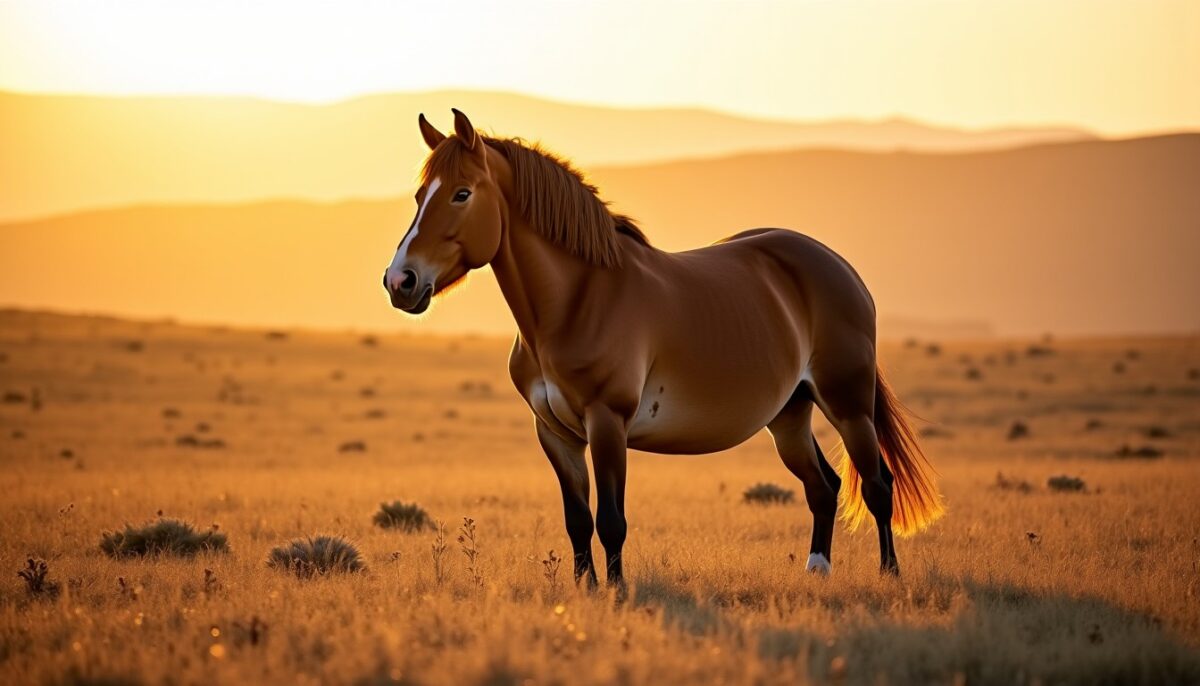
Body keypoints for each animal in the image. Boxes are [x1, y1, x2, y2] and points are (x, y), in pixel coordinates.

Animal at [383, 109, 943, 585]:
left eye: (461, 194)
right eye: (419, 196)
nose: (400, 281)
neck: (579, 301)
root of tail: (838, 266)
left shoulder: (607, 422)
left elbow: (611, 520)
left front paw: (616, 592)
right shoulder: (555, 434)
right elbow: (576, 520)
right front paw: (585, 590)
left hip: (849, 406)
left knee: (877, 486)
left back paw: (889, 575)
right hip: (789, 414)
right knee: (823, 487)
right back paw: (817, 572)